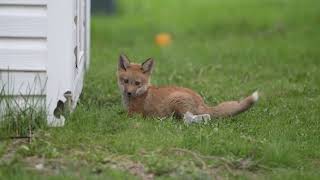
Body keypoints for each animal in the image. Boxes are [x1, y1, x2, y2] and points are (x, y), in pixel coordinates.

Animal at [116, 54, 258, 121]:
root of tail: (201, 102)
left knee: (195, 117)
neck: (143, 92)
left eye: (137, 83)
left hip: (176, 101)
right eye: (126, 81)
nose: (129, 93)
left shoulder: (135, 114)